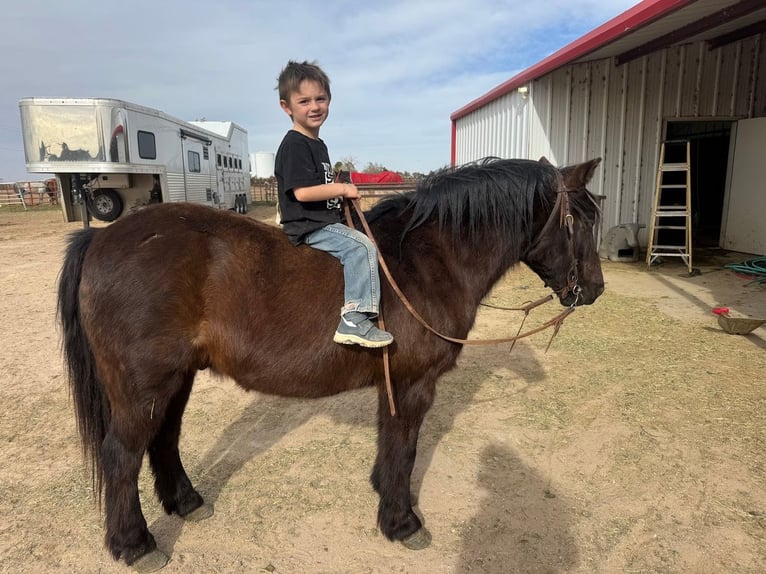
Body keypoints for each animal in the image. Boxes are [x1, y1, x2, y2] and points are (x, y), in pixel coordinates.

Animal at [57, 156, 605, 571]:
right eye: (583, 220)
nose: (595, 290)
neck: (428, 260)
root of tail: (99, 239)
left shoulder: (394, 383)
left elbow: (392, 444)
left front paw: (385, 494)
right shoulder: (414, 384)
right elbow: (405, 448)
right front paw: (401, 523)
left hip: (175, 378)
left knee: (163, 439)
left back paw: (186, 503)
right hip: (144, 384)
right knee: (122, 454)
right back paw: (134, 545)